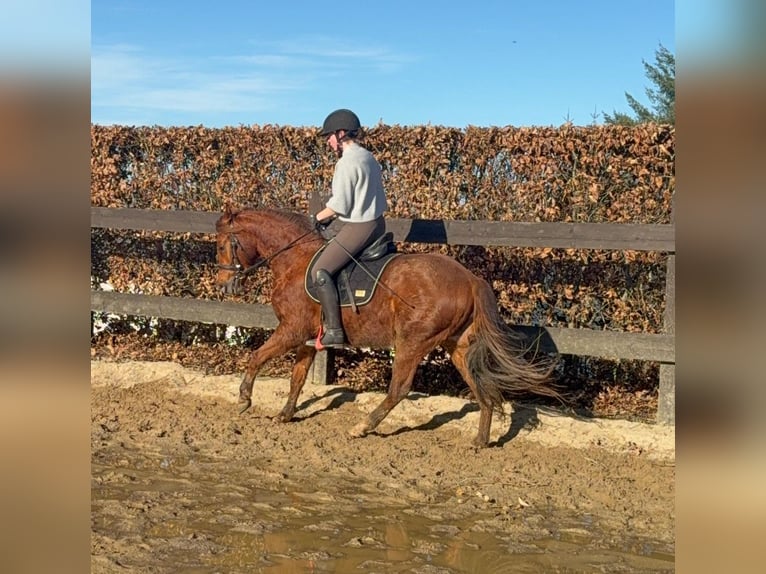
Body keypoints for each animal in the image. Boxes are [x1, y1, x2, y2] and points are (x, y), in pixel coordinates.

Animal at [214, 206, 561, 447]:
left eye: (220, 246)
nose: (224, 284)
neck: (295, 261)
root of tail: (470, 279)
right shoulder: (307, 338)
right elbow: (297, 378)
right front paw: (285, 414)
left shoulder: (292, 331)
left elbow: (256, 357)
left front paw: (244, 399)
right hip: (457, 345)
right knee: (480, 386)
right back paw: (480, 440)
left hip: (412, 341)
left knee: (399, 389)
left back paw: (363, 426)